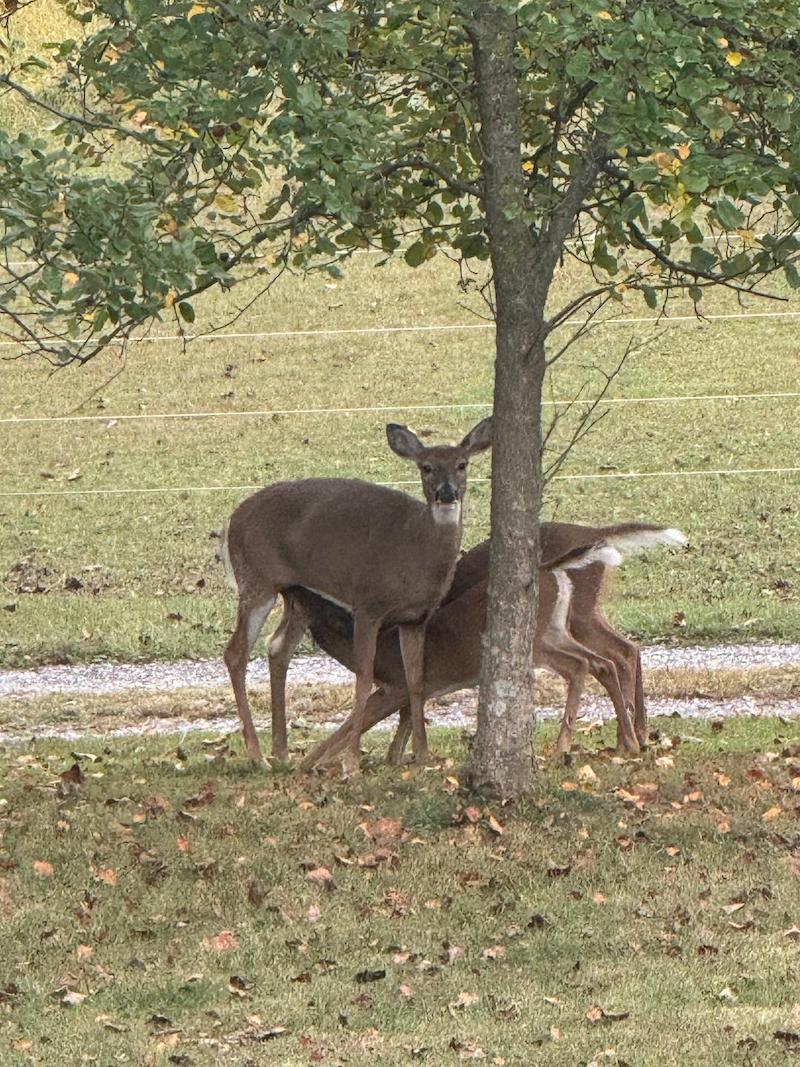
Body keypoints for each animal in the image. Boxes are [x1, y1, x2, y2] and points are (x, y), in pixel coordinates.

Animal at [218, 417, 492, 769]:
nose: (447, 493)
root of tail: (231, 522)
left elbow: (416, 682)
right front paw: (352, 764)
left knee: (277, 647)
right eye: (426, 467)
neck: (418, 550)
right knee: (236, 653)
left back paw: (281, 753)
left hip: (295, 595)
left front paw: (421, 757)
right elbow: (363, 680)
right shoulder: (368, 604)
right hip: (256, 579)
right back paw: (257, 756)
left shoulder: (416, 618)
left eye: (462, 464)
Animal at [267, 521, 686, 768]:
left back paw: (578, 744)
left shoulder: (395, 684)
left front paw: (310, 764)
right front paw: (397, 758)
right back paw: (631, 738)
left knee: (594, 662)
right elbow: (404, 721)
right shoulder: (412, 686)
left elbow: (350, 727)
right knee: (617, 655)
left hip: (549, 633)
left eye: (292, 599)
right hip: (563, 626)